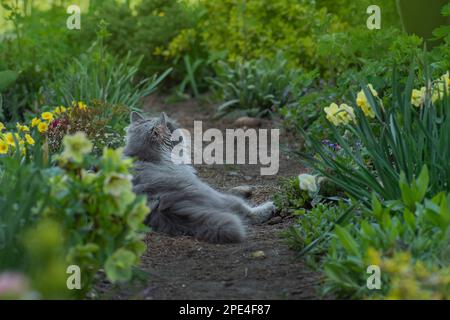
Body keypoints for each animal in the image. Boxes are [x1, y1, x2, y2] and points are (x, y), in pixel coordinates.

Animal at [123, 111, 276, 244]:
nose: (182, 131)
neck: (146, 157)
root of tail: (164, 206)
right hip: (217, 195)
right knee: (245, 210)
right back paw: (269, 207)